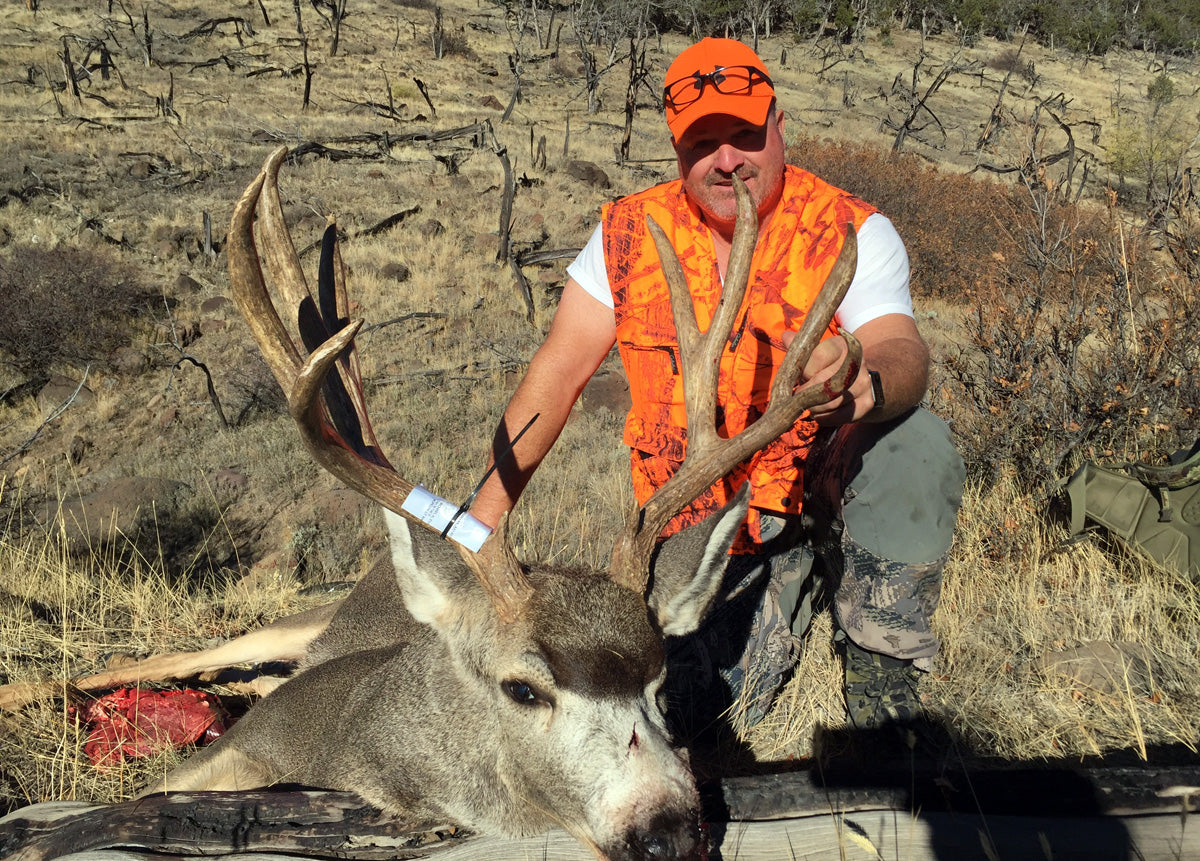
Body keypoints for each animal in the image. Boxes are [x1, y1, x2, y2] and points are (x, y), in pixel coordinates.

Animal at [2, 149, 864, 861]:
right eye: (524, 688)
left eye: (659, 686)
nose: (668, 832)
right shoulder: (243, 746)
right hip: (286, 624)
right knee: (160, 660)